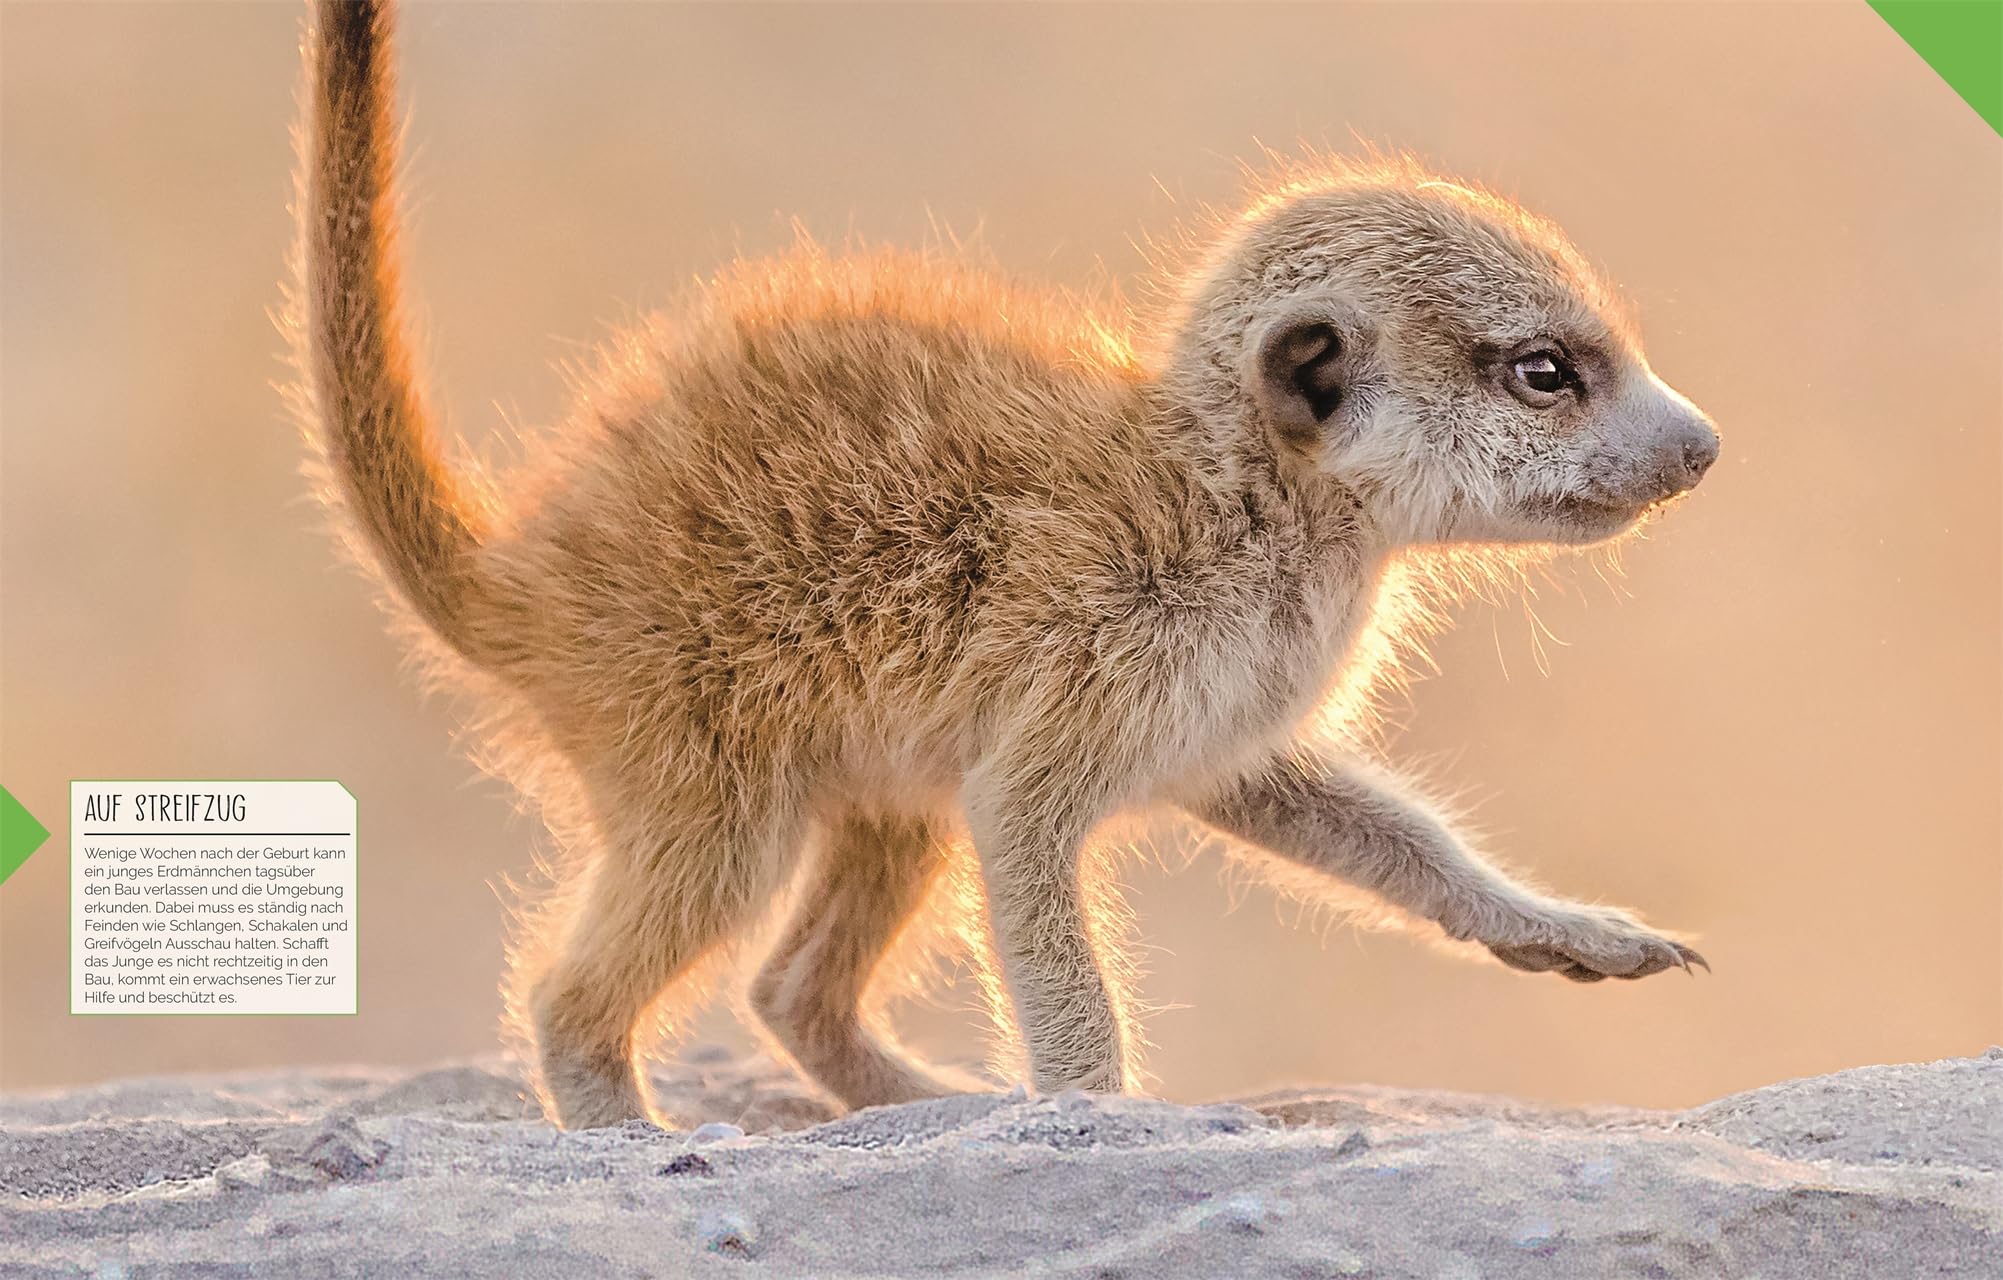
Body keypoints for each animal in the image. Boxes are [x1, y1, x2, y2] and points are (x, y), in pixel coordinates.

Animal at [291, 0, 1716, 1129]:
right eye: (1545, 369)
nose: (1700, 447)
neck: (1239, 508)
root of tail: (530, 581)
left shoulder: (1216, 711)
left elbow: (1350, 815)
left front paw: (1558, 925)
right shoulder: (1098, 653)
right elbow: (1025, 836)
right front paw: (1090, 1105)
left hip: (872, 774)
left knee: (793, 981)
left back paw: (922, 1101)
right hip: (697, 748)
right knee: (618, 955)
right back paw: (624, 1115)